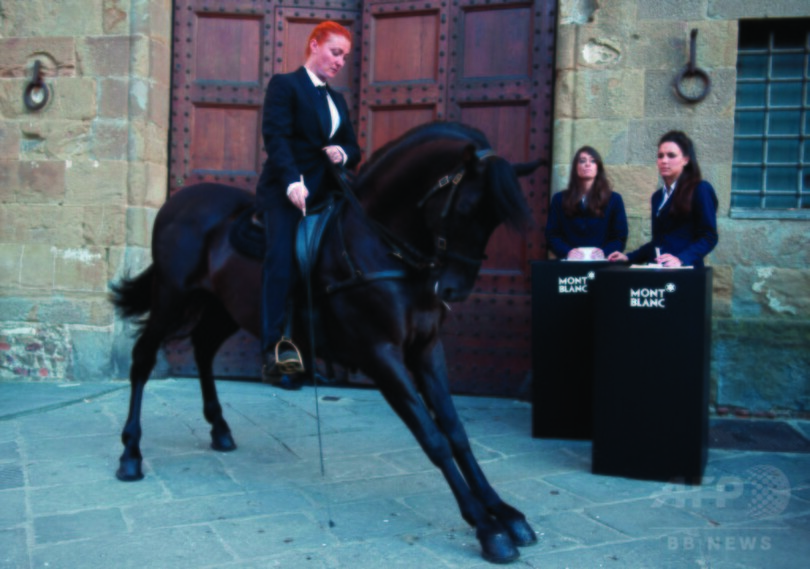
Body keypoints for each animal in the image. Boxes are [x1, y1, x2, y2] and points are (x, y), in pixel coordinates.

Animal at [111, 121, 543, 563]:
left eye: (494, 220)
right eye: (466, 209)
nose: (454, 289)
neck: (381, 246)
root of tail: (177, 200)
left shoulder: (426, 349)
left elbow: (456, 432)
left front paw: (504, 511)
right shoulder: (380, 356)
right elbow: (433, 438)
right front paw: (487, 527)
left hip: (224, 307)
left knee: (202, 348)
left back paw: (219, 428)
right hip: (171, 297)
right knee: (143, 359)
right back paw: (130, 454)